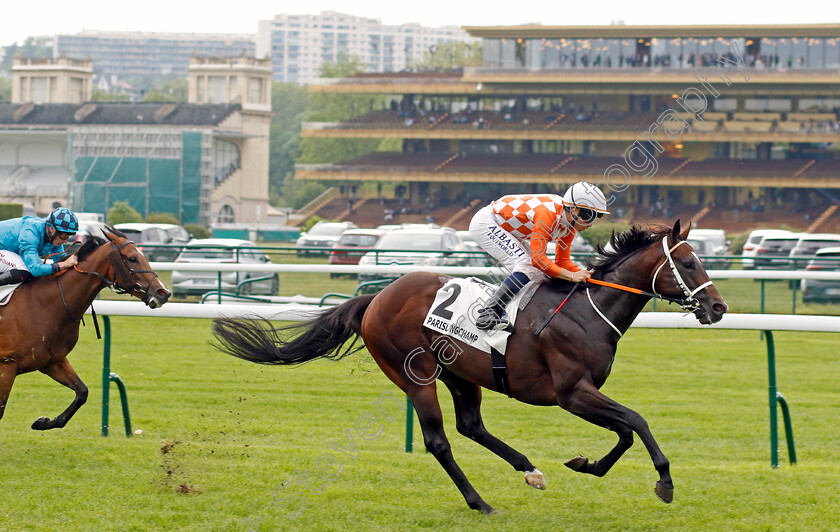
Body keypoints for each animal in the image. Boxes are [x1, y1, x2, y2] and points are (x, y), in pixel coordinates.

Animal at [0, 227, 171, 430]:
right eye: (132, 258)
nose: (164, 292)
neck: (46, 303)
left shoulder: (52, 361)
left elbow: (82, 392)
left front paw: (43, 422)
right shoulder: (7, 366)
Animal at [212, 219, 728, 512]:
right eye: (688, 262)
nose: (719, 307)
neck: (587, 312)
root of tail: (375, 298)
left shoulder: (583, 394)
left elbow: (624, 431)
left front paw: (585, 464)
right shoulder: (572, 393)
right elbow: (635, 421)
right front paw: (664, 482)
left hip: (461, 374)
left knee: (471, 426)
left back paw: (528, 469)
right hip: (414, 374)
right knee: (440, 441)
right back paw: (480, 502)